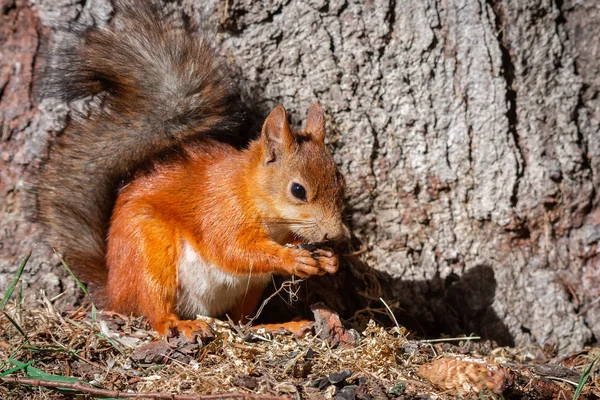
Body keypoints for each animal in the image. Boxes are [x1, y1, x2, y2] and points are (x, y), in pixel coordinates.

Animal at [37, 0, 346, 340]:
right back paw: (178, 323)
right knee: (153, 308)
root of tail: (114, 290)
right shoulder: (221, 213)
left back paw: (277, 325)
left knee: (241, 320)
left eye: (341, 182)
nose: (335, 234)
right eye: (298, 190)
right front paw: (292, 258)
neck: (249, 191)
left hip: (250, 288)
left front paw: (329, 258)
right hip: (149, 254)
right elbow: (233, 250)